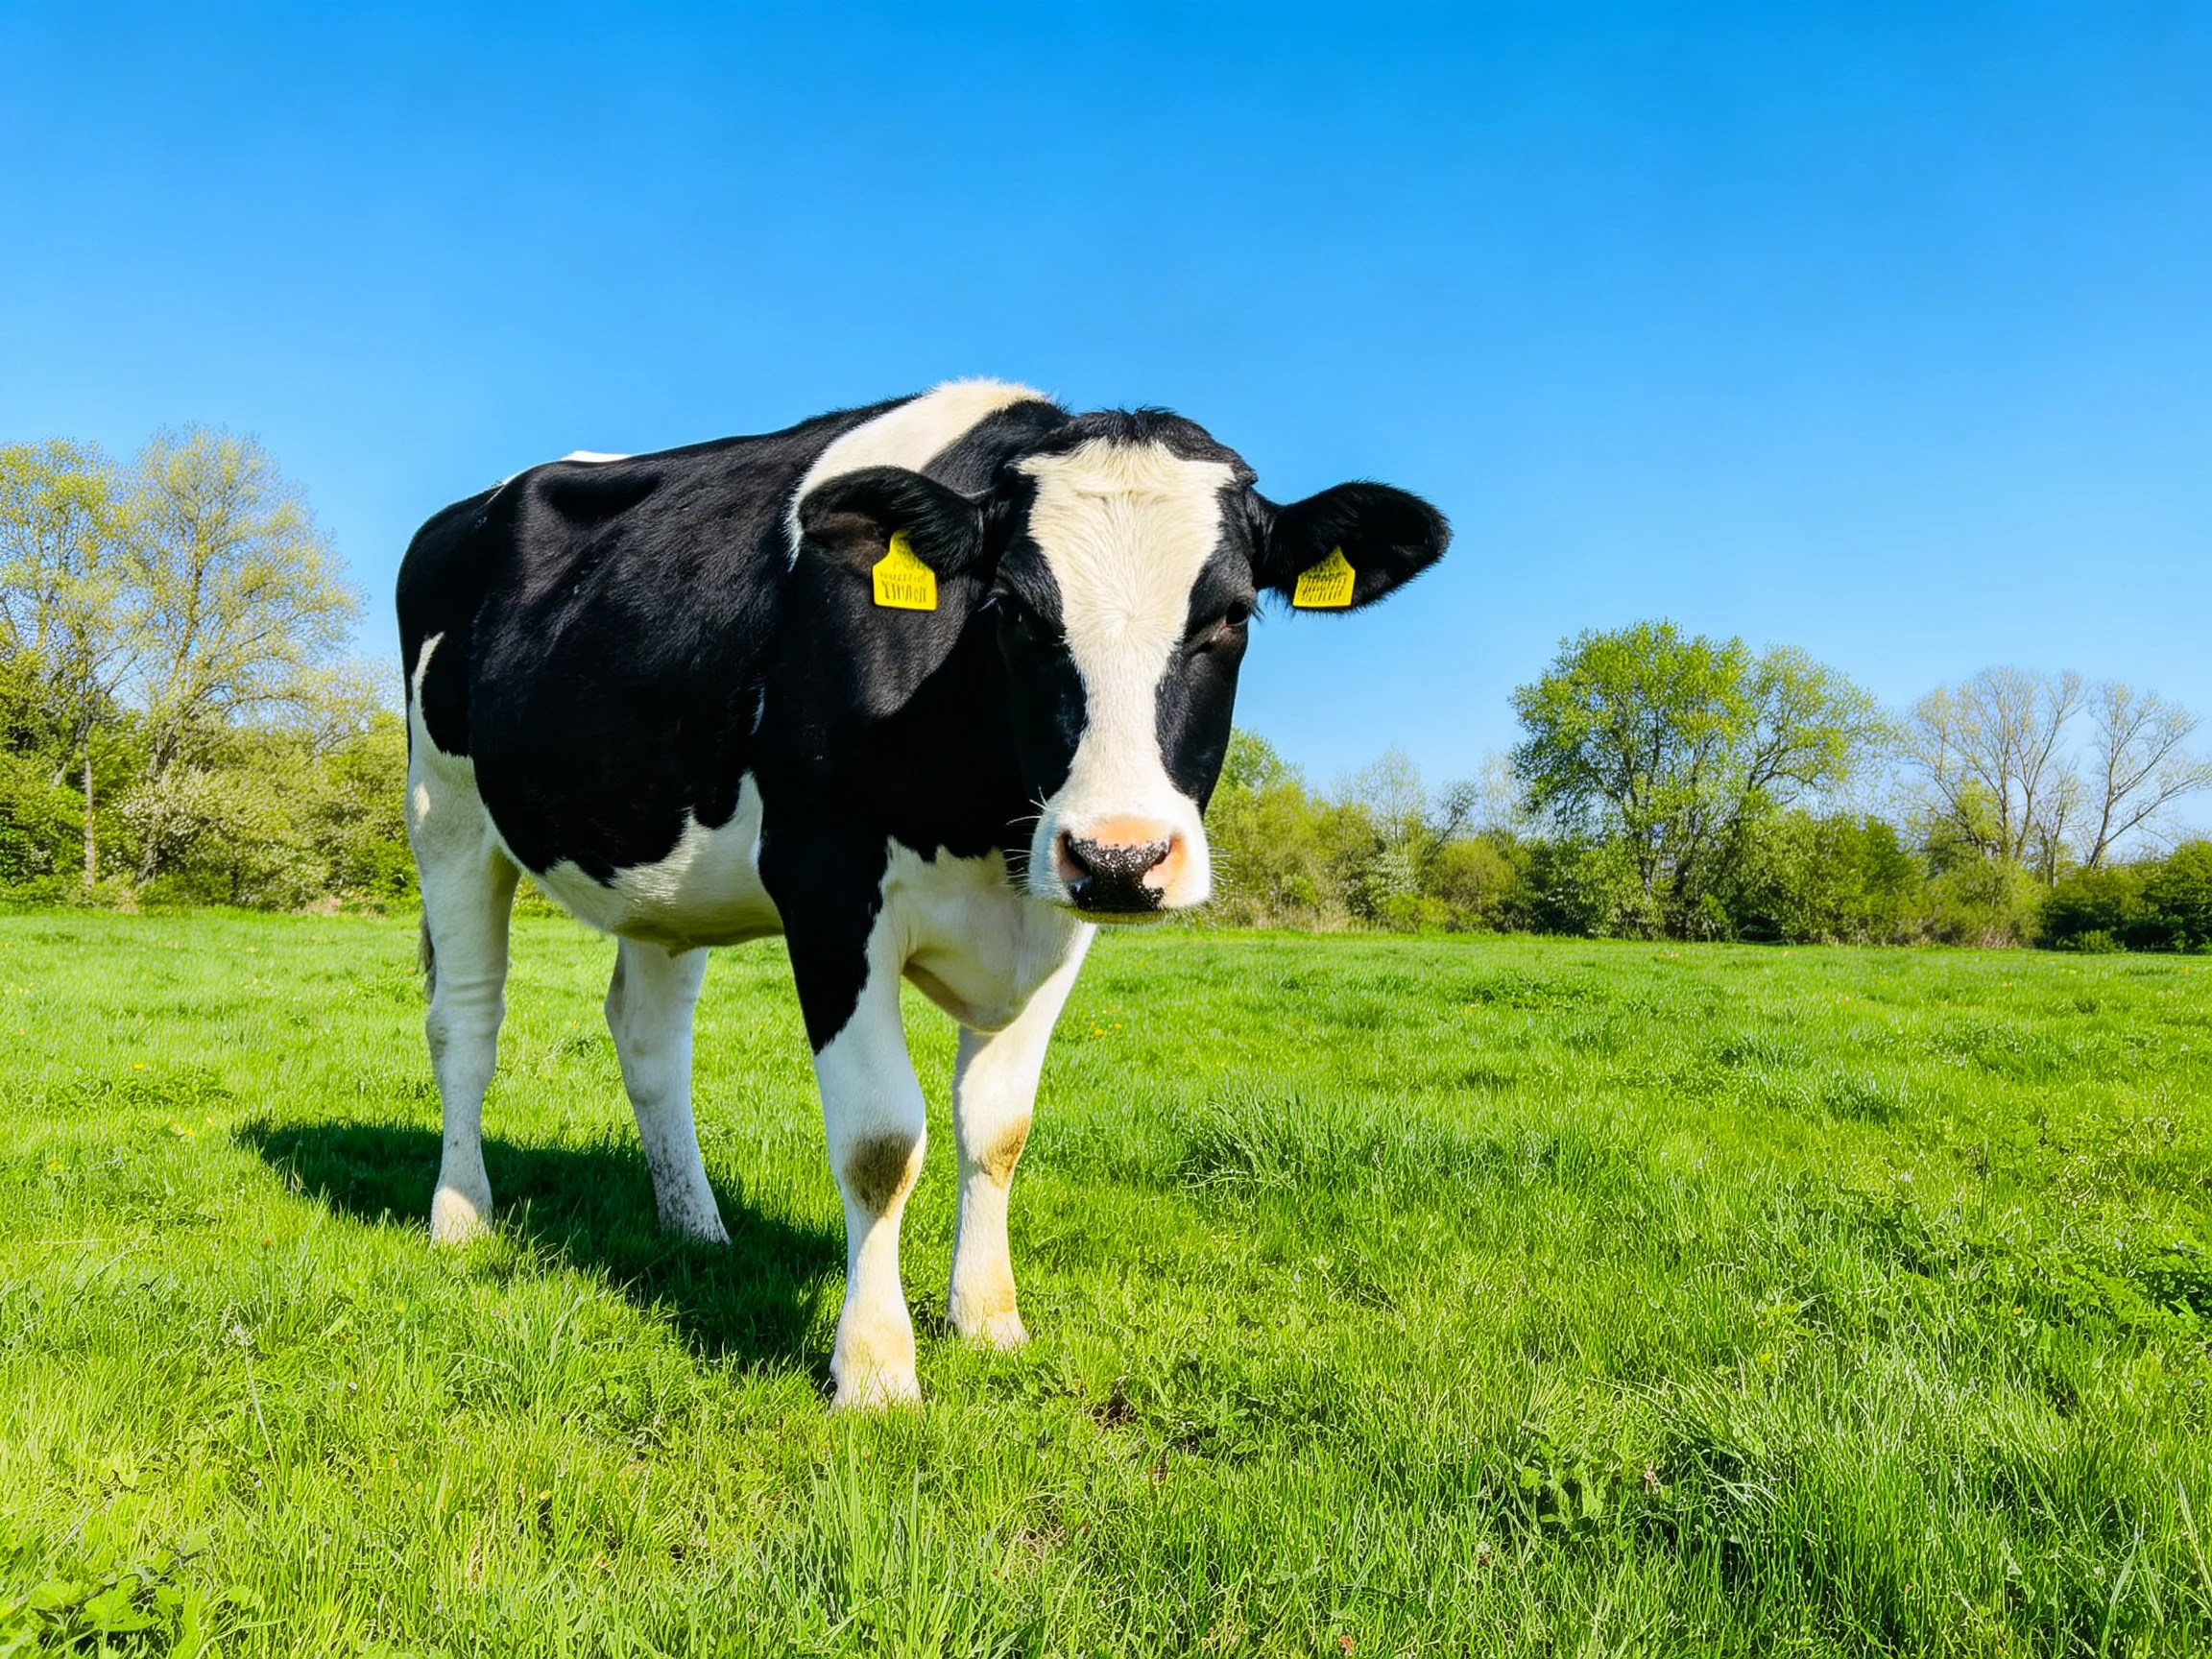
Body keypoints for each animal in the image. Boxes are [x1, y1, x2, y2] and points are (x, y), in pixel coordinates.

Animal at [398, 380, 1448, 1406]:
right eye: (1017, 611)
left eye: (1230, 616)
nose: (1120, 857)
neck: (984, 817)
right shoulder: (828, 887)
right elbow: (879, 1142)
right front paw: (873, 1368)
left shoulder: (1051, 914)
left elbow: (998, 1128)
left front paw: (987, 1320)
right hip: (444, 813)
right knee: (465, 1023)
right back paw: (461, 1216)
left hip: (662, 875)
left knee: (650, 1038)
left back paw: (695, 1227)